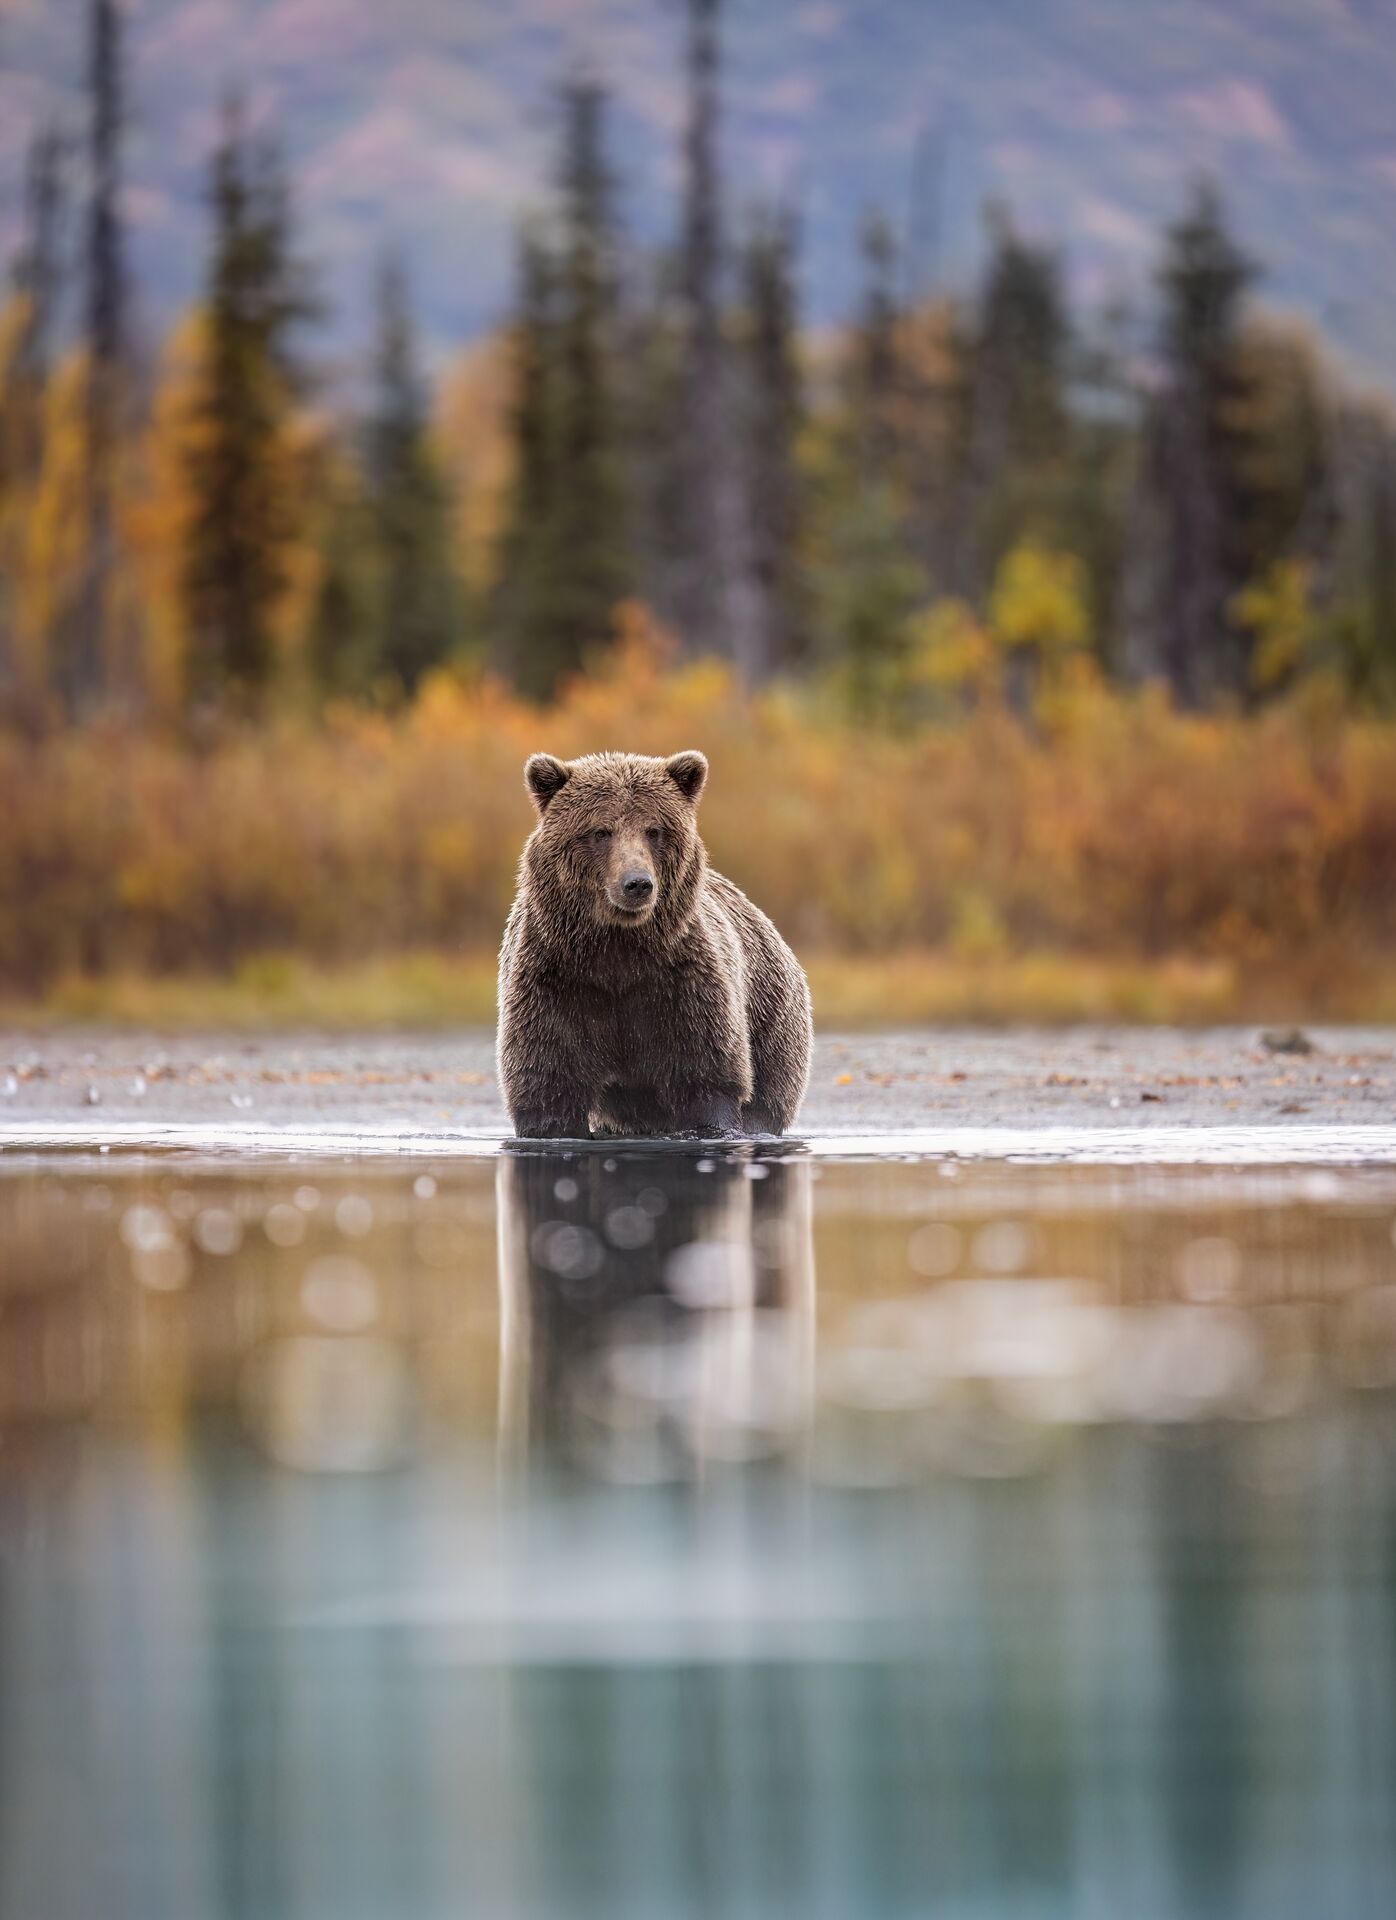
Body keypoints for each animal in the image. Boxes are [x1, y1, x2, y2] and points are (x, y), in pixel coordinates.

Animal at [497, 749, 812, 1139]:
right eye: (600, 831)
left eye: (654, 830)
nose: (637, 883)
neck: (617, 949)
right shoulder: (557, 983)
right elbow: (547, 1082)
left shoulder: (681, 985)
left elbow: (706, 1077)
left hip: (772, 1018)